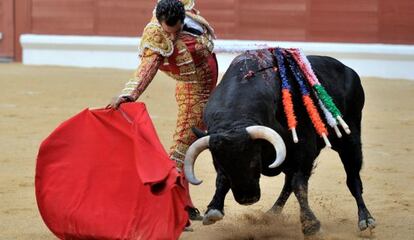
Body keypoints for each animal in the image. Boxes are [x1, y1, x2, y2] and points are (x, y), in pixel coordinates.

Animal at [184, 47, 376, 235]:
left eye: (254, 161)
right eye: (221, 164)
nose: (247, 199)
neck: (236, 120)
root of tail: (348, 70)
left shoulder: (303, 148)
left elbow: (299, 185)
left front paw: (311, 225)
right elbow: (222, 179)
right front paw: (213, 209)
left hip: (350, 138)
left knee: (352, 178)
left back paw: (365, 219)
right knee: (288, 183)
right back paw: (272, 213)